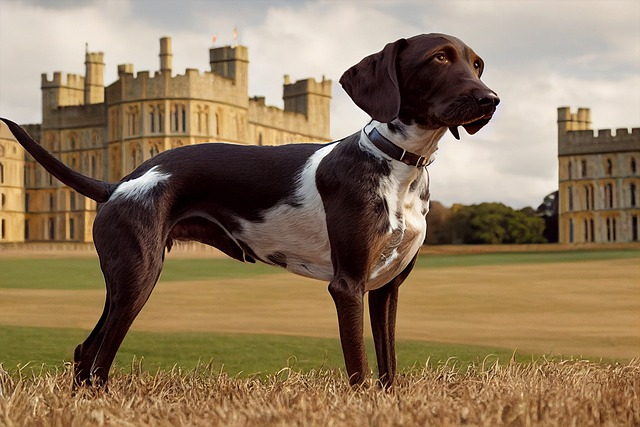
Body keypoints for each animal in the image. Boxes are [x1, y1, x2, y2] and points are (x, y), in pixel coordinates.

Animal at [0, 33, 500, 388]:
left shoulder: (386, 288)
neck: (399, 166)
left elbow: (388, 367)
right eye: (439, 58)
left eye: (477, 63)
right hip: (137, 279)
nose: (490, 100)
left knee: (86, 352)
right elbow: (359, 370)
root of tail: (120, 182)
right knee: (100, 360)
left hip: (123, 282)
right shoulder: (348, 285)